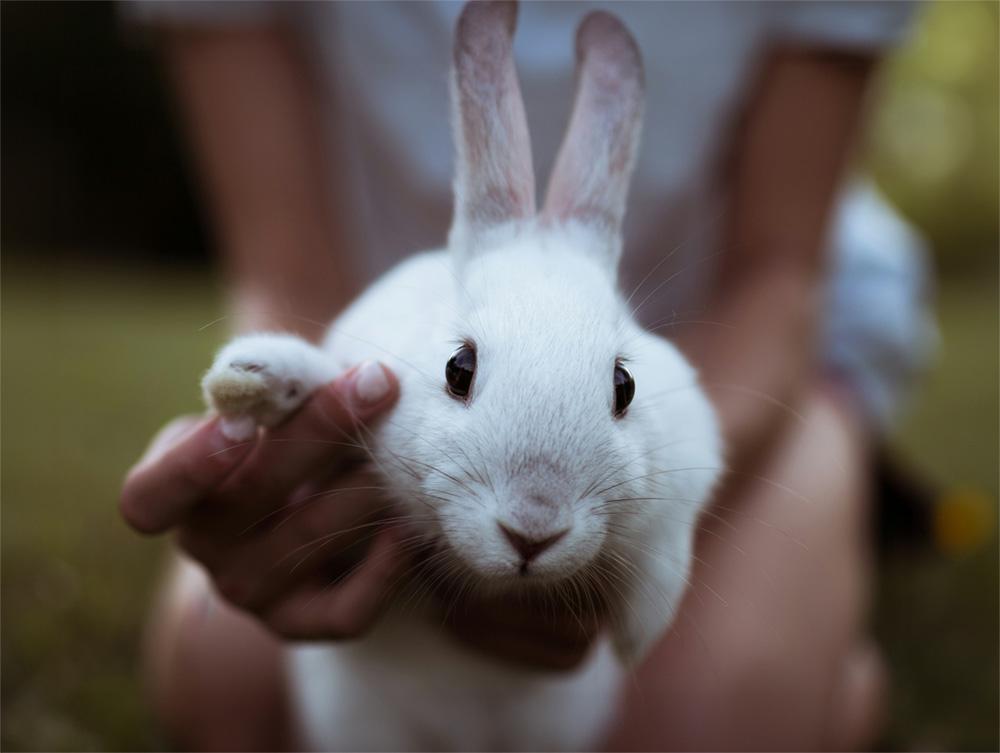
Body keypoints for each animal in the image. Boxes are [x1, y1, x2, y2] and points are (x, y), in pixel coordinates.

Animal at [201, 2, 720, 748]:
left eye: (624, 386)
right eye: (458, 368)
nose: (533, 528)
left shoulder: (690, 458)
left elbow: (664, 548)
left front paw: (637, 633)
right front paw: (251, 379)